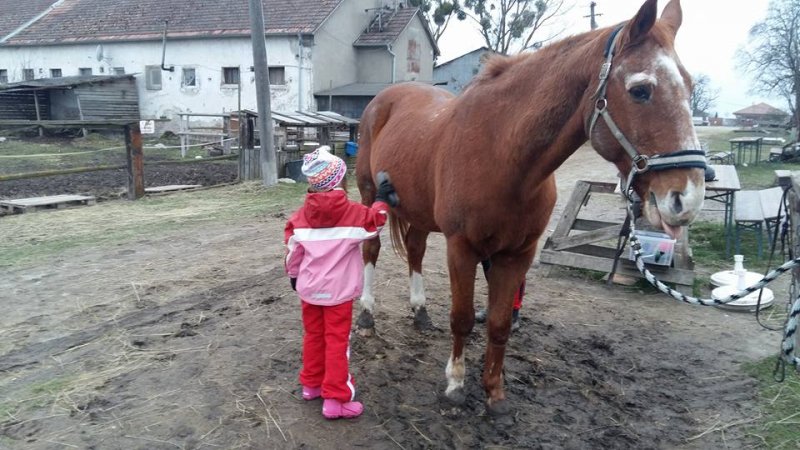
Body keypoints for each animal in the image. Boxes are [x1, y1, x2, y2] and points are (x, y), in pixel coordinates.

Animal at [354, 0, 704, 414]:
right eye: (640, 90)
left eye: (690, 86)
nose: (687, 196)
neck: (503, 152)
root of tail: (384, 99)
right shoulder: (462, 248)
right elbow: (462, 319)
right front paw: (456, 383)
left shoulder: (516, 254)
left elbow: (500, 323)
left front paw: (494, 390)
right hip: (369, 195)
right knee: (371, 249)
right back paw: (366, 316)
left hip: (419, 210)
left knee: (415, 251)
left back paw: (420, 312)